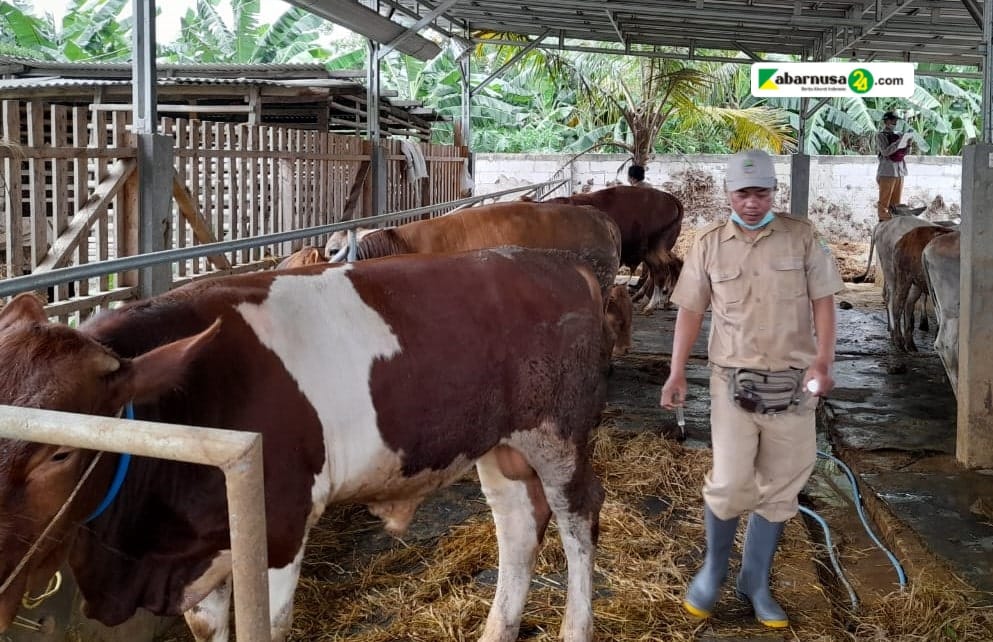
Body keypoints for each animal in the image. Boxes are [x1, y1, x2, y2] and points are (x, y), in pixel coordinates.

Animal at [0, 246, 608, 640]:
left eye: (60, 452)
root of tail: (553, 261)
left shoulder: (278, 525)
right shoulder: (202, 547)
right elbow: (206, 625)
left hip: (559, 433)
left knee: (578, 518)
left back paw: (575, 629)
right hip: (499, 443)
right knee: (518, 525)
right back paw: (496, 630)